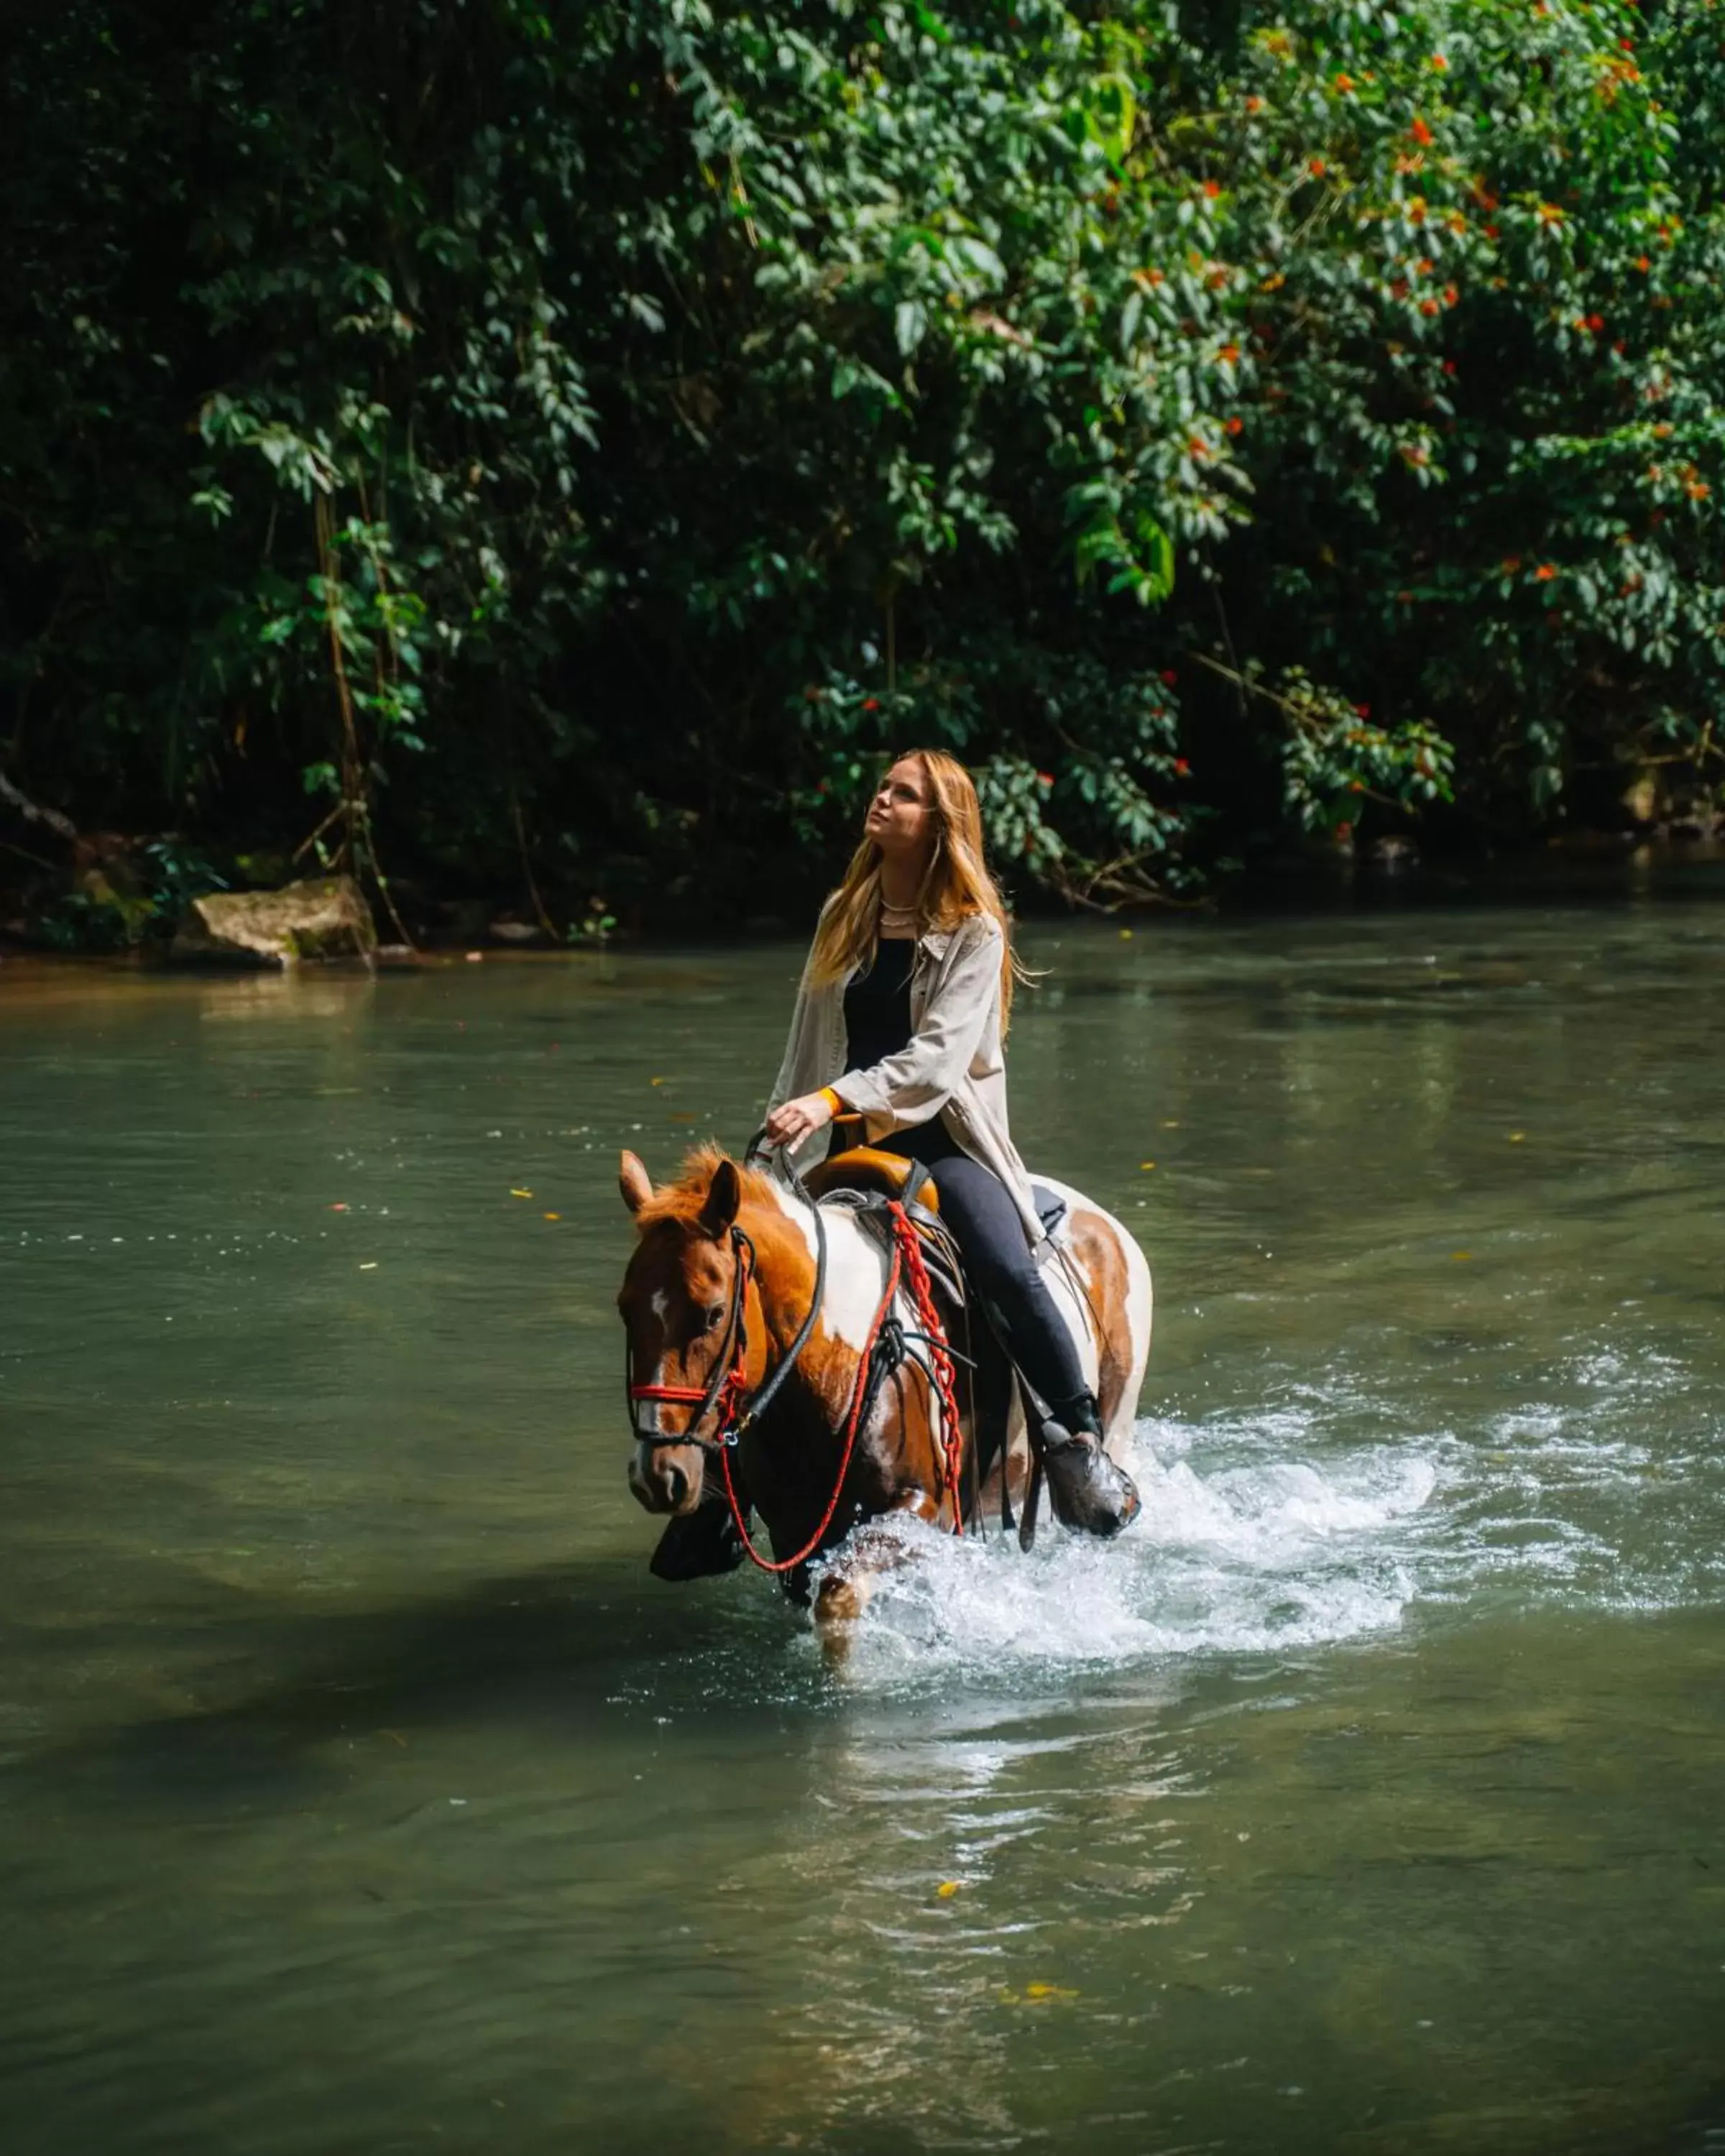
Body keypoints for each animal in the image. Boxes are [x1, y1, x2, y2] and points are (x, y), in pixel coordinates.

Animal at [612, 1147, 1156, 1630]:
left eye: (714, 1313)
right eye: (625, 1309)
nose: (656, 1476)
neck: (835, 1364)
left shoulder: (917, 1509)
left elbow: (837, 1597)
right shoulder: (795, 1533)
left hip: (1117, 1423)